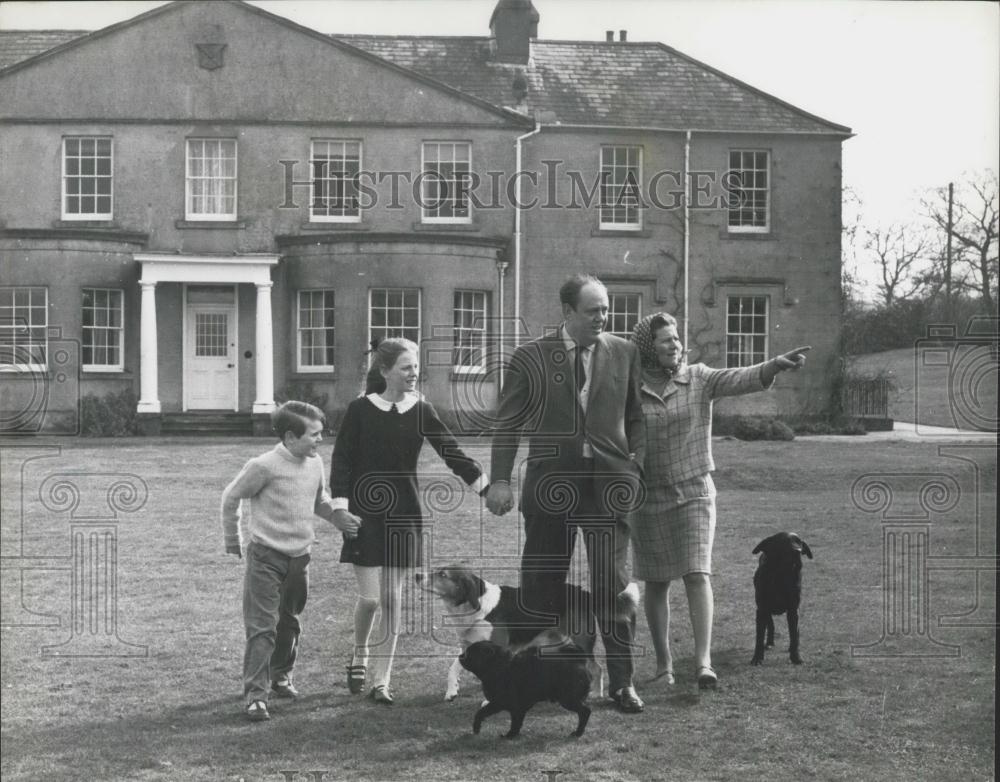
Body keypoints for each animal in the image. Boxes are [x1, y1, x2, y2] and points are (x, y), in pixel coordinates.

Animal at [416, 568, 640, 700]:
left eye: (443, 575)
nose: (417, 575)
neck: (474, 605)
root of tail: (583, 593)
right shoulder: (468, 646)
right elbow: (452, 668)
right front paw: (451, 691)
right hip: (554, 641)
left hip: (581, 641)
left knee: (597, 667)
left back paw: (595, 693)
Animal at [460, 636, 592, 740]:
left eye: (469, 653)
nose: (460, 655)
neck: (499, 666)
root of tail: (578, 660)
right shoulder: (510, 707)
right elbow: (513, 722)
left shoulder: (503, 704)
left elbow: (508, 721)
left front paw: (509, 735)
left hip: (568, 699)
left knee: (585, 711)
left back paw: (578, 733)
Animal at [752, 532, 812, 668]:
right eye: (783, 542)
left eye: (799, 542)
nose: (798, 551)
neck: (781, 576)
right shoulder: (762, 610)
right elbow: (759, 638)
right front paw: (757, 658)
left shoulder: (793, 610)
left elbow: (794, 635)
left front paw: (796, 657)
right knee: (770, 625)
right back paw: (769, 642)